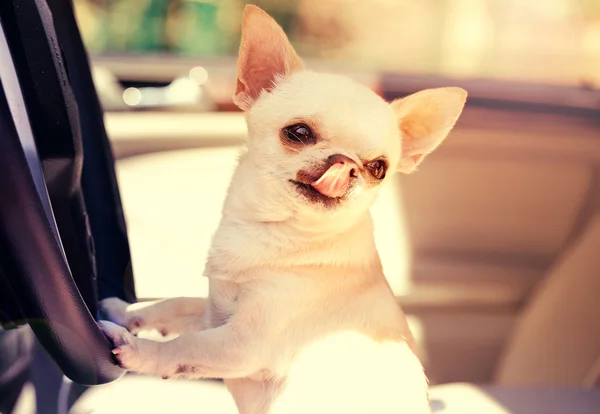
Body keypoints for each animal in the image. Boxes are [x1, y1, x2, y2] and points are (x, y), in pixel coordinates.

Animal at [98, 4, 466, 414]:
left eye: (378, 168)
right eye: (299, 132)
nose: (344, 163)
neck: (277, 230)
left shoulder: (241, 343)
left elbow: (182, 347)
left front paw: (135, 350)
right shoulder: (215, 311)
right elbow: (174, 304)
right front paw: (127, 313)